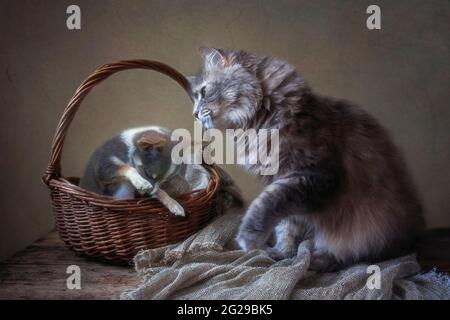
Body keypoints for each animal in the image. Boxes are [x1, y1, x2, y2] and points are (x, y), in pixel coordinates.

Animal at [188, 47, 424, 272]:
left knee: (359, 257)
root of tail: (413, 238)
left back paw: (320, 260)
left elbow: (266, 203)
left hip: (371, 229)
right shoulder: (284, 182)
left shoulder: (312, 175)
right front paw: (282, 254)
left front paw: (249, 237)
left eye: (204, 91)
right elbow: (286, 225)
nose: (194, 114)